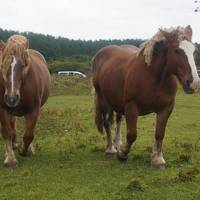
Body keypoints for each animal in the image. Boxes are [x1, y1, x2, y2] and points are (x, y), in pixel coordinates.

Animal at [0, 34, 50, 167]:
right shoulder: (3, 109)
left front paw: (24, 150)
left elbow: (28, 134)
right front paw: (10, 159)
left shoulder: (34, 110)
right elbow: (7, 132)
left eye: (22, 65)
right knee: (12, 126)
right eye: (3, 66)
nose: (11, 98)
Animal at [92, 25, 200, 168]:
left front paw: (157, 159)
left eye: (195, 51)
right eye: (177, 51)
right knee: (107, 122)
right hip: (103, 99)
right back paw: (111, 149)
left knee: (118, 120)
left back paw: (117, 143)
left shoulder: (166, 108)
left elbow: (159, 133)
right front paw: (123, 154)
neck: (154, 77)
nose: (194, 83)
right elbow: (132, 134)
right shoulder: (131, 106)